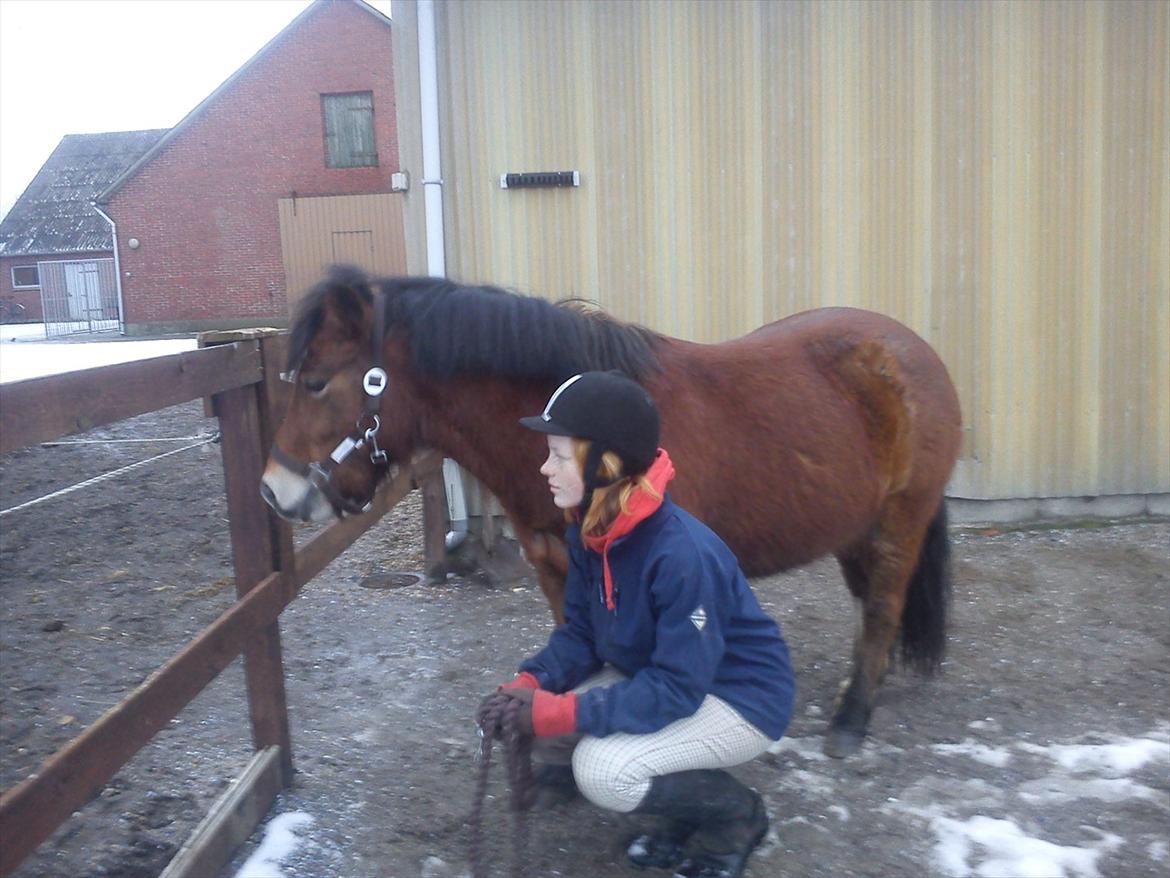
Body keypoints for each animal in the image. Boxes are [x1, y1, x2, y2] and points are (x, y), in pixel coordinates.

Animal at [263, 268, 959, 758]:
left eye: (317, 382)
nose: (274, 490)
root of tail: (911, 351)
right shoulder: (556, 572)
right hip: (855, 529)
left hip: (899, 524)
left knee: (883, 608)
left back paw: (851, 720)